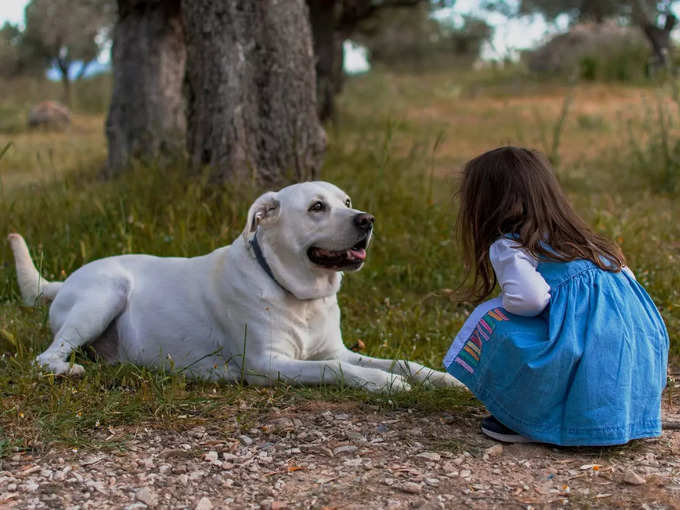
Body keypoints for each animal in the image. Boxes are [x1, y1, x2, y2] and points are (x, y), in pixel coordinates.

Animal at [7, 181, 460, 392]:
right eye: (317, 207)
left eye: (346, 202)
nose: (367, 220)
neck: (299, 295)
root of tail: (63, 281)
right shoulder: (266, 364)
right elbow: (336, 370)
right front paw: (384, 384)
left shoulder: (336, 349)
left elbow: (402, 362)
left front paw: (442, 378)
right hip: (105, 294)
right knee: (45, 358)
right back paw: (68, 370)